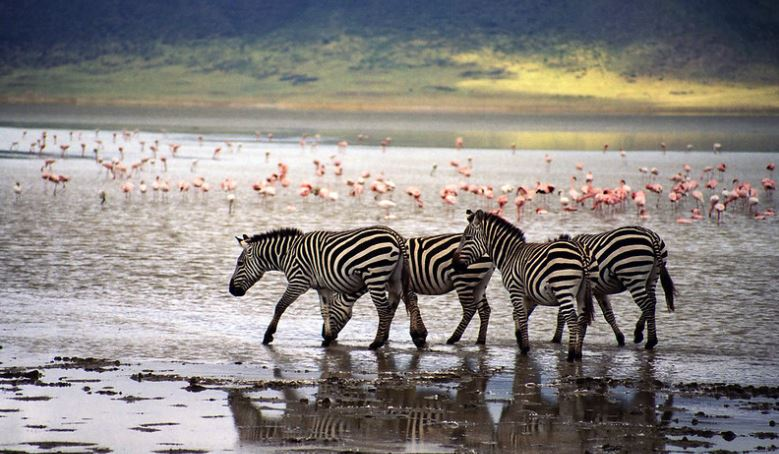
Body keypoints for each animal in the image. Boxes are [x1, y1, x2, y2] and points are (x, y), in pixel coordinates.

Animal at [228, 225, 427, 350]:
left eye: (239, 263)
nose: (231, 290)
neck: (287, 254)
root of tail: (395, 236)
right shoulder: (322, 287)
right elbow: (326, 310)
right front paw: (328, 338)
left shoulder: (298, 282)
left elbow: (280, 306)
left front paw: (268, 336)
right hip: (395, 279)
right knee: (405, 302)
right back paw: (413, 338)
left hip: (375, 277)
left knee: (384, 310)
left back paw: (376, 344)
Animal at [320, 233, 495, 345]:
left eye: (330, 313)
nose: (324, 336)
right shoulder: (394, 289)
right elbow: (392, 310)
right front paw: (385, 336)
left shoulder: (401, 287)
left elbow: (410, 305)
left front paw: (419, 334)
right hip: (479, 283)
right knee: (485, 309)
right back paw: (480, 340)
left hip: (463, 280)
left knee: (470, 308)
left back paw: (453, 339)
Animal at [451, 209, 596, 361]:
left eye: (467, 238)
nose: (454, 264)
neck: (510, 255)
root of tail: (581, 252)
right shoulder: (528, 295)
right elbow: (521, 316)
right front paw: (521, 341)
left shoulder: (515, 290)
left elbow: (520, 315)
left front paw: (525, 347)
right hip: (584, 292)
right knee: (582, 320)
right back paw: (578, 355)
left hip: (563, 288)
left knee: (572, 319)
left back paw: (570, 356)